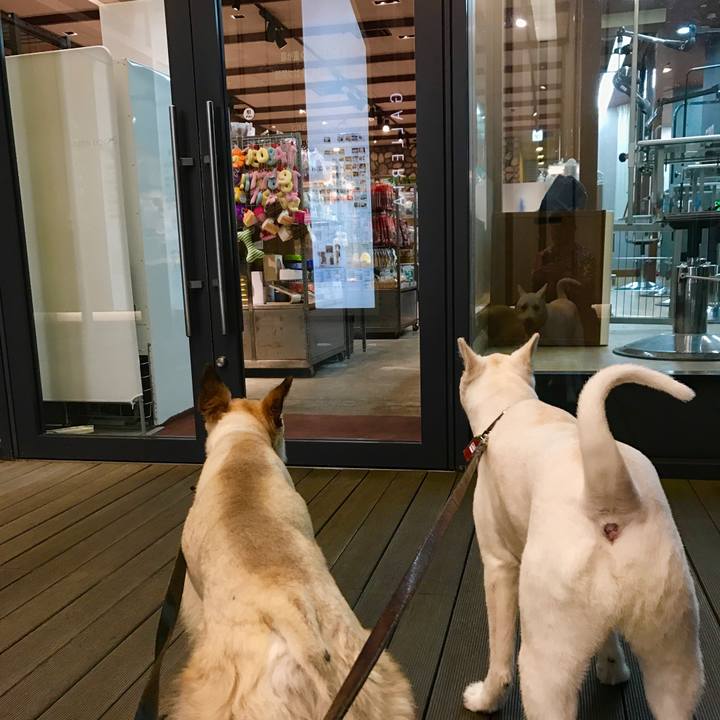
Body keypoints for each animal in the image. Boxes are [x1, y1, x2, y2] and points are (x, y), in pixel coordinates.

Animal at [457, 335, 703, 720]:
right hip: (675, 661)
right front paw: (613, 668)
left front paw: (486, 699)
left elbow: (499, 653)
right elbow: (609, 636)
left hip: (547, 668)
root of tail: (609, 496)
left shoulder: (498, 566)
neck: (512, 406)